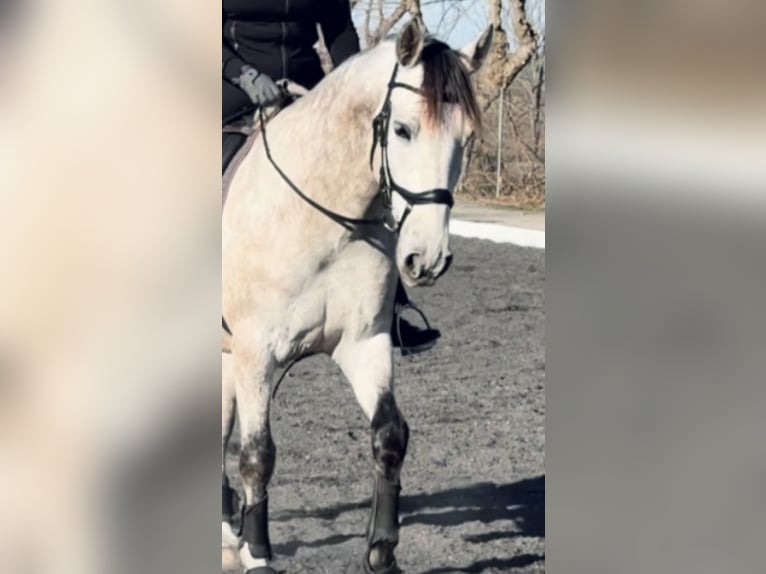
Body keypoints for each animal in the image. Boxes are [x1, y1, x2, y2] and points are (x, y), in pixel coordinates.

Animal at [222, 19, 492, 574]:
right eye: (403, 130)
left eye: (468, 138)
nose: (427, 259)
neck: (322, 217)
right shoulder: (255, 353)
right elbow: (257, 453)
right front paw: (257, 551)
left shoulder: (363, 343)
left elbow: (390, 435)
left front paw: (382, 550)